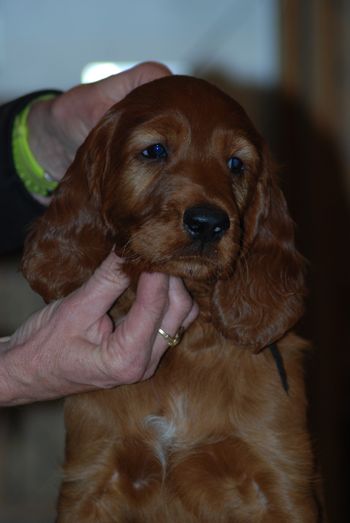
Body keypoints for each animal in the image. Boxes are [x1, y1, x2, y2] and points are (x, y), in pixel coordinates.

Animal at [21, 75, 322, 520]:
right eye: (155, 150)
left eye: (236, 164)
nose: (208, 223)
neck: (187, 346)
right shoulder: (90, 479)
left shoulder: (282, 479)